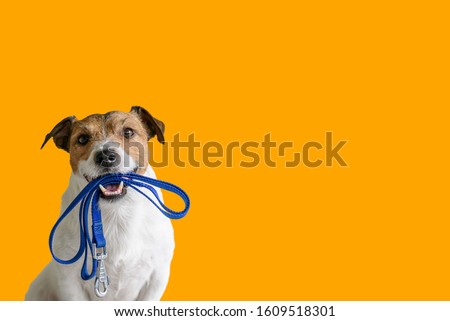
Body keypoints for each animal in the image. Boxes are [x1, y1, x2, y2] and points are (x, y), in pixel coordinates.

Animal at [25, 106, 176, 298]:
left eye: (128, 132)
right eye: (82, 139)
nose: (106, 156)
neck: (116, 212)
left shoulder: (157, 275)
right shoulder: (69, 280)